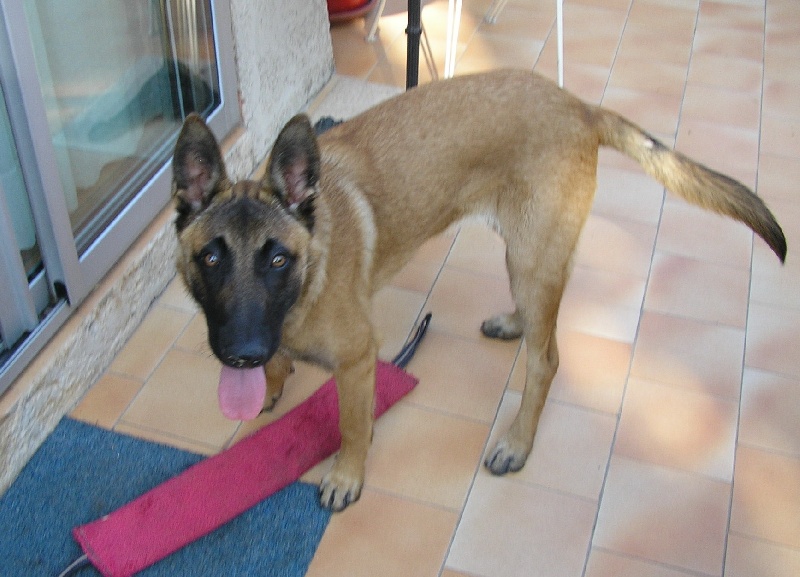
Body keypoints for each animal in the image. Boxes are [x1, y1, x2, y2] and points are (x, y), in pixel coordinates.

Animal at [172, 70, 784, 510]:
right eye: (210, 258)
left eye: (277, 259)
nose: (242, 354)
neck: (311, 268)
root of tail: (579, 106)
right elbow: (281, 368)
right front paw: (272, 381)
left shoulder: (358, 360)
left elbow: (352, 427)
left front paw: (347, 475)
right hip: (525, 257)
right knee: (537, 320)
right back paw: (514, 322)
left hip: (533, 258)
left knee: (546, 360)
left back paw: (517, 442)